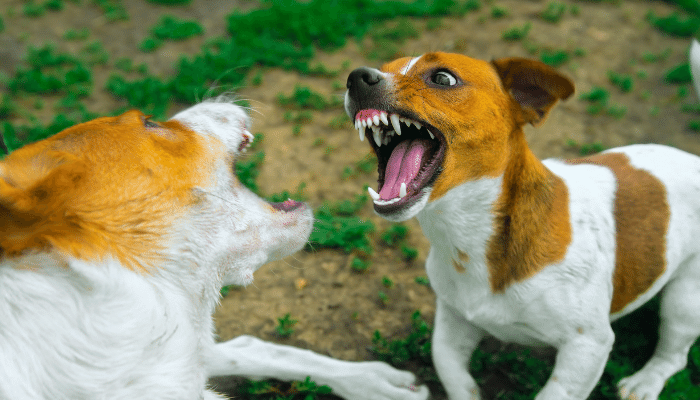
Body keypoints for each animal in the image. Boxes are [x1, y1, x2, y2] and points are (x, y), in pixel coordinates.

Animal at [344, 54, 700, 400]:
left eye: (443, 78)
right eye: (385, 66)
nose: (357, 77)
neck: (467, 233)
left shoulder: (586, 347)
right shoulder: (452, 322)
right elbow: (453, 375)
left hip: (684, 302)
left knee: (674, 355)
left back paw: (645, 382)